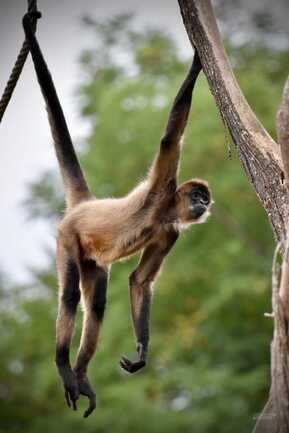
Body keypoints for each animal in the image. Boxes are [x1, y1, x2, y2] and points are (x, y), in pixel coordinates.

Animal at [22, 11, 212, 416]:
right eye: (197, 196)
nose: (204, 205)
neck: (165, 210)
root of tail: (85, 204)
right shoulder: (161, 187)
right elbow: (170, 138)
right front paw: (196, 62)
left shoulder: (170, 230)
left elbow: (139, 280)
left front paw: (142, 353)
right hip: (69, 240)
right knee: (70, 297)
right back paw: (64, 365)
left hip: (93, 260)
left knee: (96, 306)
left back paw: (81, 375)